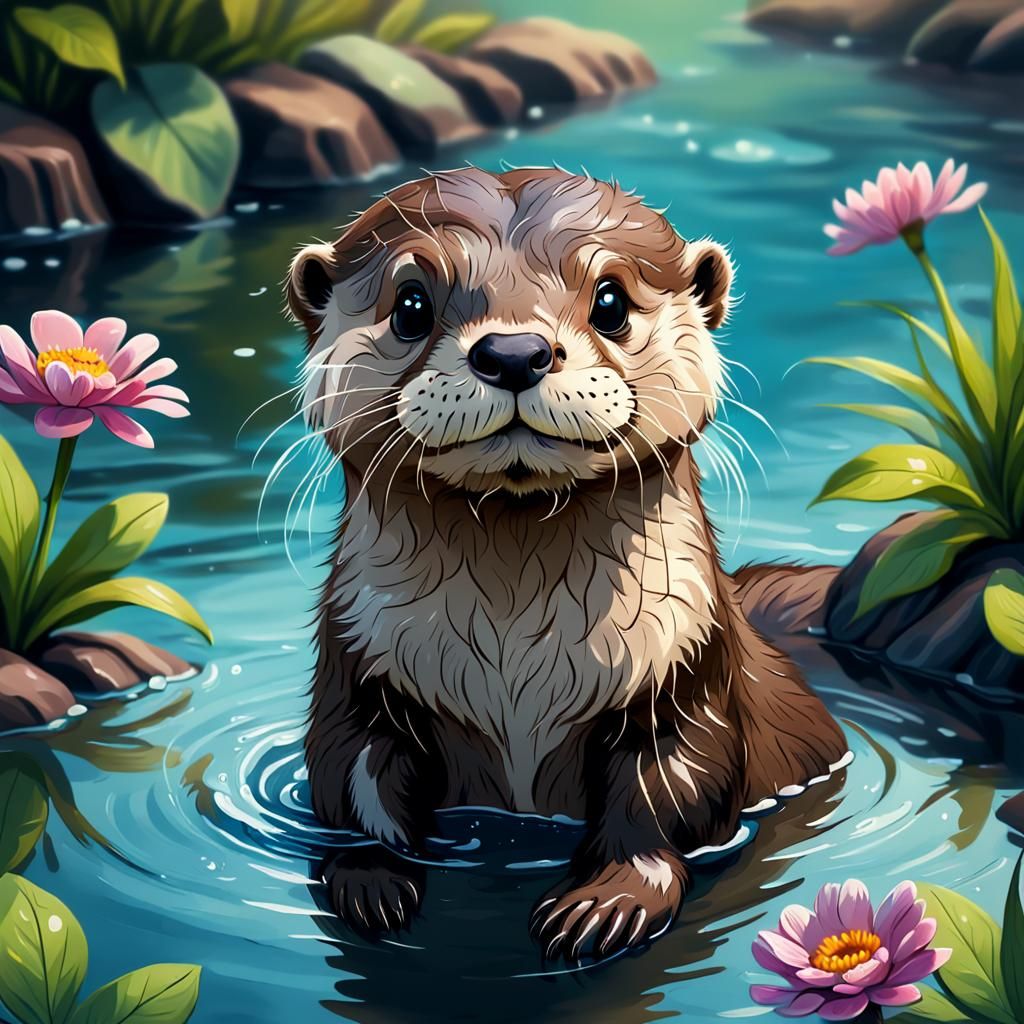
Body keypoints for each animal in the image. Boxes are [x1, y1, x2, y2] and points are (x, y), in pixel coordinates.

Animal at [286, 167, 847, 962]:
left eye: (610, 301)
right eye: (411, 303)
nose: (515, 352)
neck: (513, 661)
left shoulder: (680, 666)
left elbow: (667, 791)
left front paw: (608, 903)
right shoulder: (360, 666)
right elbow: (350, 780)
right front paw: (373, 880)